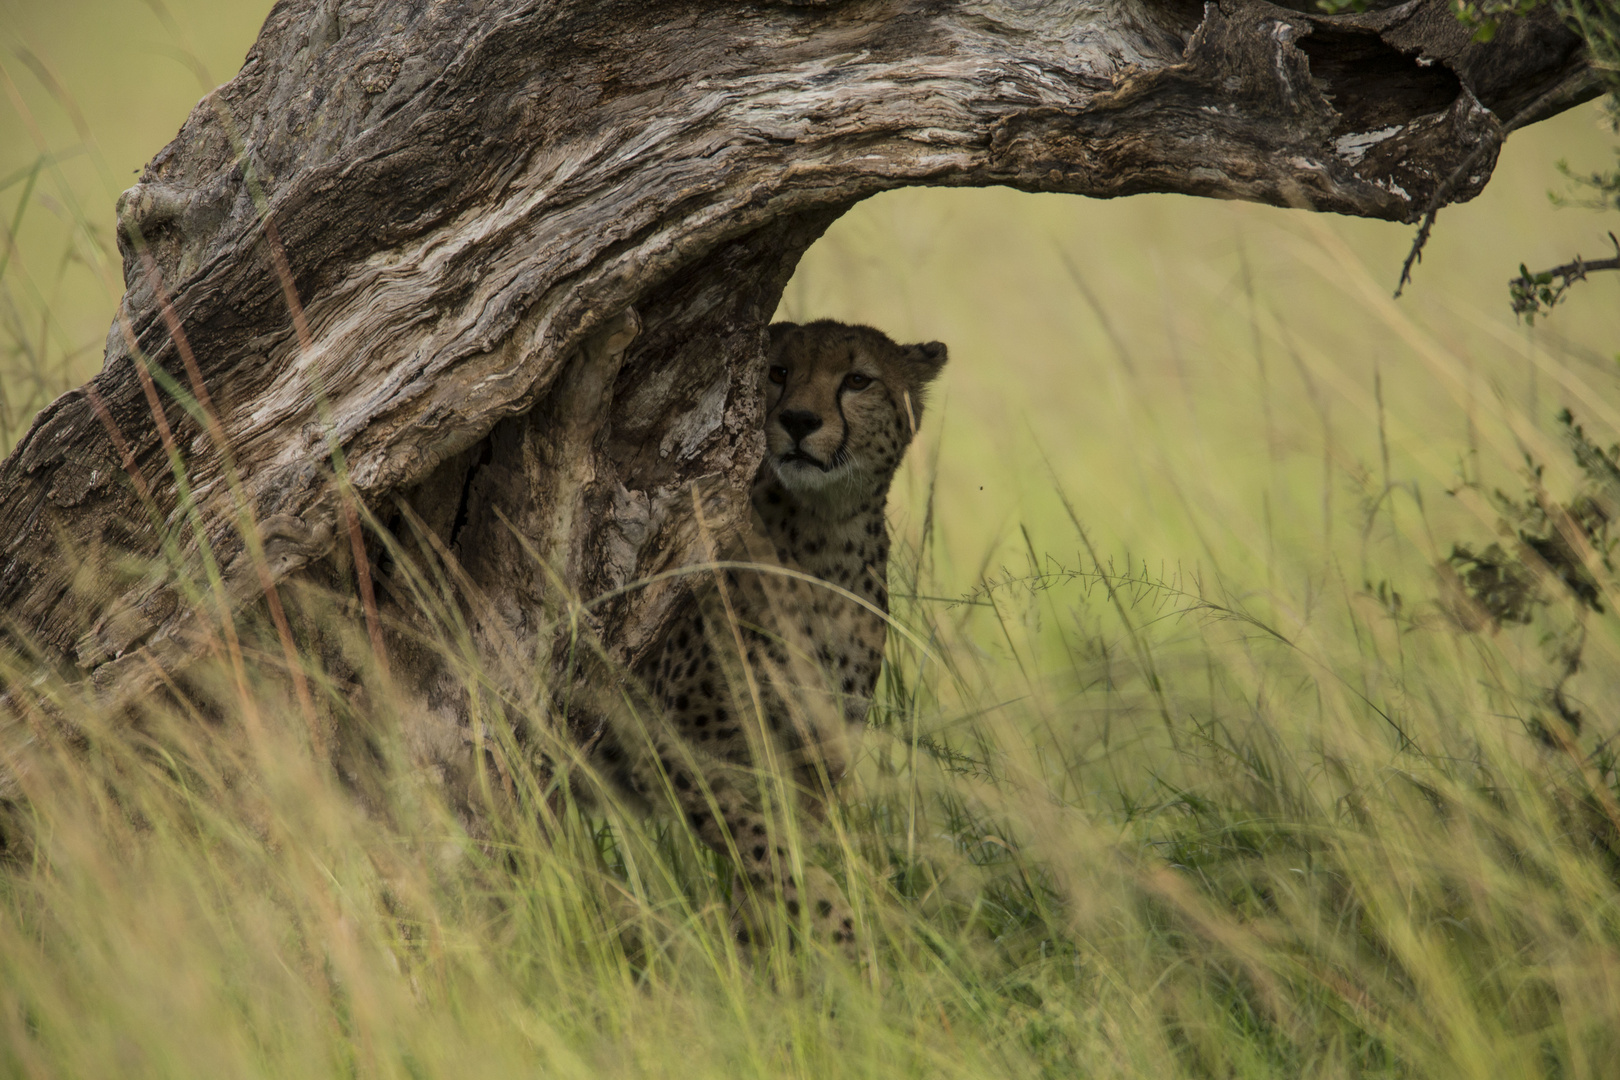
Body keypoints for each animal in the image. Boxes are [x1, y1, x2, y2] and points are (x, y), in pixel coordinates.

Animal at [599, 318, 946, 952]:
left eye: (857, 380)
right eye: (778, 370)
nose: (800, 420)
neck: (822, 537)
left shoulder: (815, 762)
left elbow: (775, 861)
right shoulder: (665, 743)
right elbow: (765, 847)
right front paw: (845, 936)